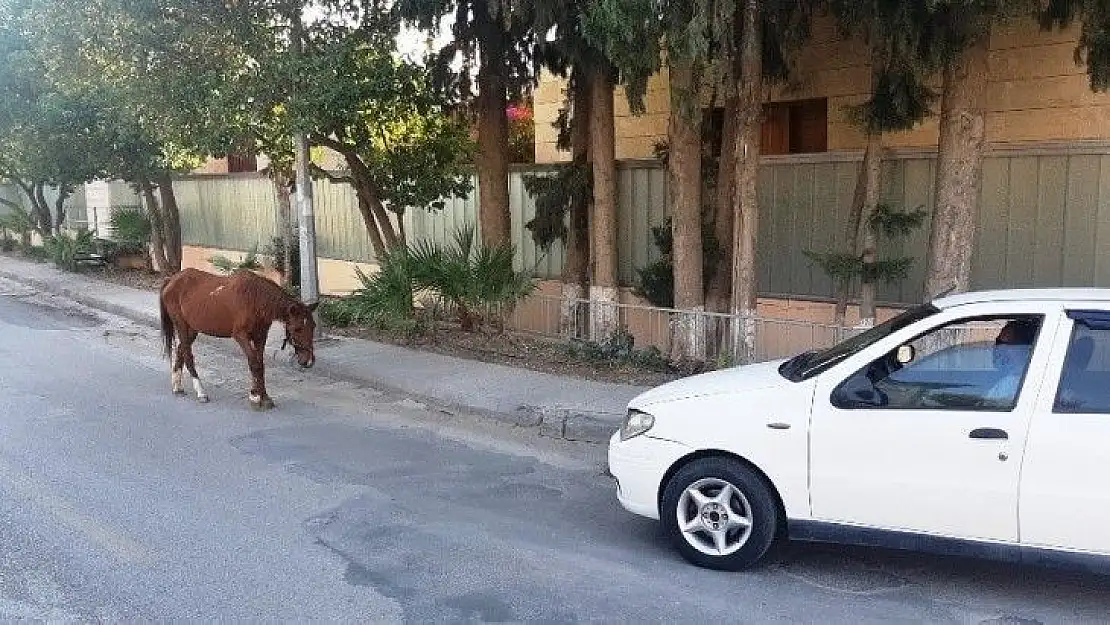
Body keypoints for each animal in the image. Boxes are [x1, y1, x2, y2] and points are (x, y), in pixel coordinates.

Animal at [158, 268, 319, 410]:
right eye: (297, 329)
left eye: (313, 326)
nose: (308, 360)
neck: (255, 299)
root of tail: (171, 280)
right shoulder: (241, 336)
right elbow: (254, 363)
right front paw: (257, 397)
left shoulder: (260, 337)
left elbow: (260, 364)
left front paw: (261, 395)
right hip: (181, 325)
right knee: (187, 355)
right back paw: (201, 392)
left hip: (192, 329)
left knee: (181, 350)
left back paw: (177, 386)